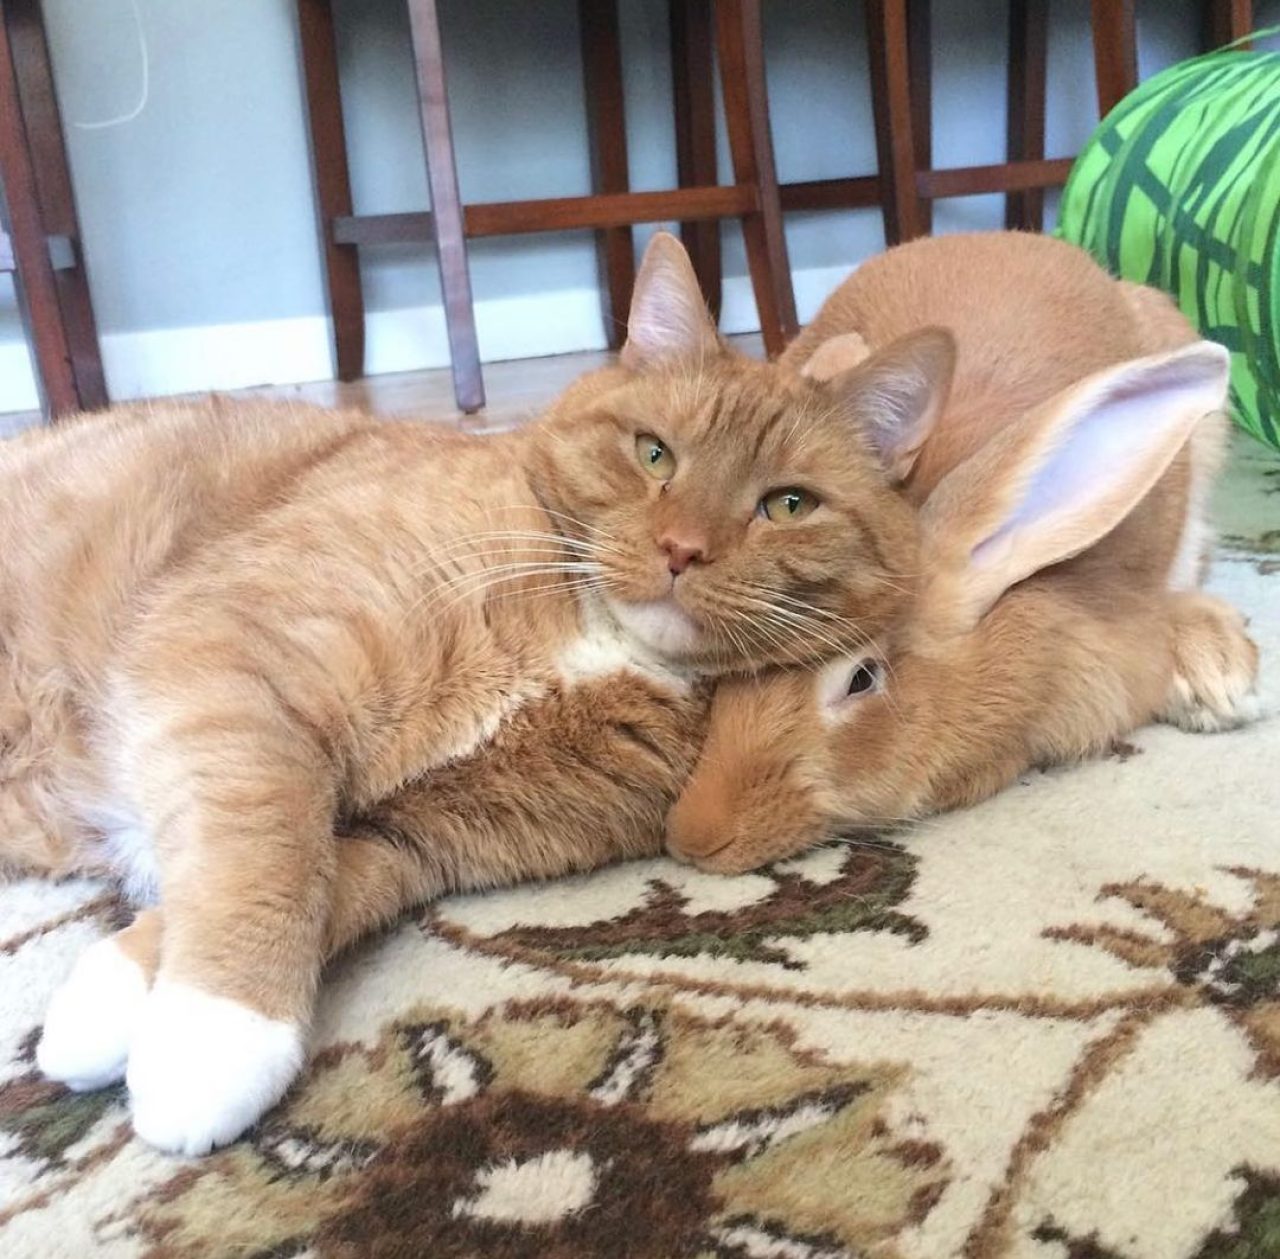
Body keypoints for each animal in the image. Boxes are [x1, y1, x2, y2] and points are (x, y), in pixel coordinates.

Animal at [2, 229, 952, 1151]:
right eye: (654, 454)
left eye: (788, 505)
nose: (682, 548)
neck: (595, 633)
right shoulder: (235, 662)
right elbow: (267, 848)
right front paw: (215, 1038)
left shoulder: (411, 839)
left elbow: (318, 883)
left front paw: (133, 1008)